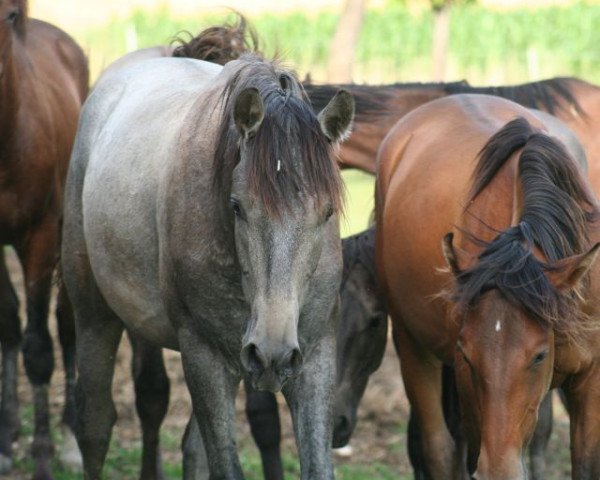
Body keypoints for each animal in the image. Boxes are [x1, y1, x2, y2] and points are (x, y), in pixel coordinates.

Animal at [62, 50, 352, 478]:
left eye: (328, 212)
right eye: (237, 206)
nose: (273, 352)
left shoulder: (314, 356)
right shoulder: (204, 355)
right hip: (94, 315)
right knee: (95, 426)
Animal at [378, 93, 600, 476]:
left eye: (540, 356)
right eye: (468, 355)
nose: (499, 473)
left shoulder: (590, 379)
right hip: (410, 344)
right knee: (438, 448)